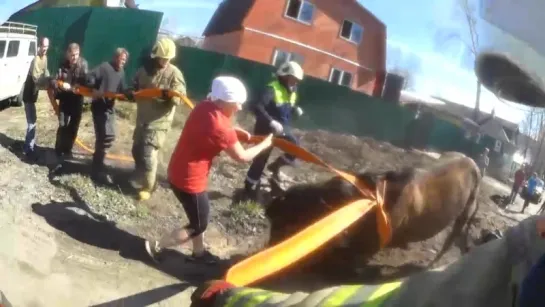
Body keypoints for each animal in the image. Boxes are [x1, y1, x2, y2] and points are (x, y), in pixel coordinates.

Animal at [264, 153, 480, 278]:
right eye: (273, 222)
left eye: (288, 224)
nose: (269, 249)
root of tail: (472, 163)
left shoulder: (365, 248)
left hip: (466, 211)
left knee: (451, 239)